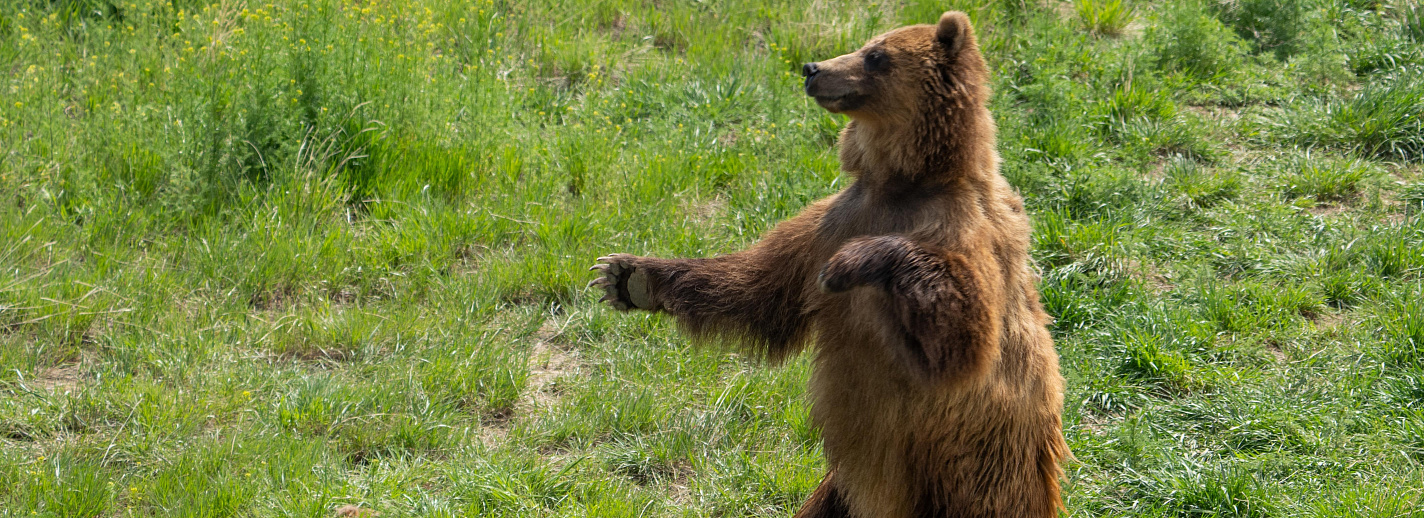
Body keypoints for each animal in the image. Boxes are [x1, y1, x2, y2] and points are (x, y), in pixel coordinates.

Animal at [589, 12, 1070, 518]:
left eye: (876, 55)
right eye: (865, 44)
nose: (812, 68)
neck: (905, 181)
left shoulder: (960, 231)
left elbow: (963, 339)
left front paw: (851, 264)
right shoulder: (834, 220)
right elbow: (761, 289)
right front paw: (628, 275)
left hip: (973, 473)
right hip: (848, 491)